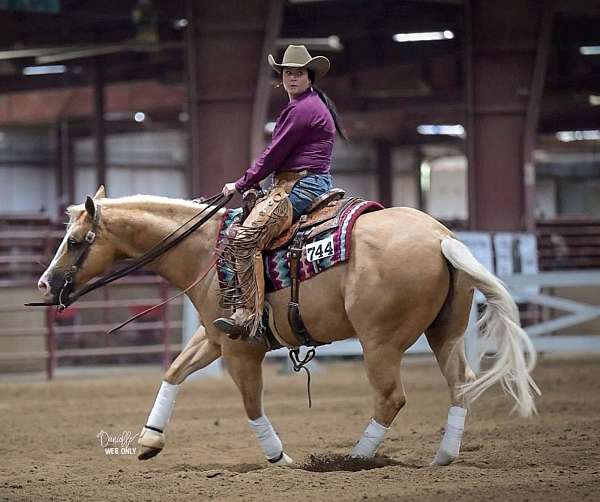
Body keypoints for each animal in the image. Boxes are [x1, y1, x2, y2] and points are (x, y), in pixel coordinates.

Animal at [39, 187, 540, 466]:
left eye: (76, 241)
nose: (46, 283)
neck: (207, 250)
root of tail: (441, 238)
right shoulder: (217, 336)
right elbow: (174, 371)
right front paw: (149, 440)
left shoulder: (241, 349)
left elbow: (251, 406)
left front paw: (279, 458)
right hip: (445, 332)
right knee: (460, 383)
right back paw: (443, 456)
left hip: (381, 341)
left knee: (390, 397)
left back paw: (352, 459)